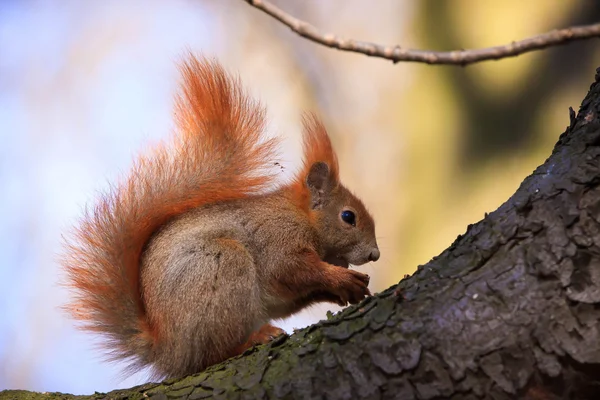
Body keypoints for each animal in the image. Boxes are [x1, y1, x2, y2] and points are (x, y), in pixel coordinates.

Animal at [62, 54, 380, 382]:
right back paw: (251, 340)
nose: (375, 254)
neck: (300, 215)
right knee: (210, 355)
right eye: (348, 217)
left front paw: (343, 289)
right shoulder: (277, 237)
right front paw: (340, 277)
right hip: (222, 267)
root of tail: (167, 351)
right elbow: (290, 268)